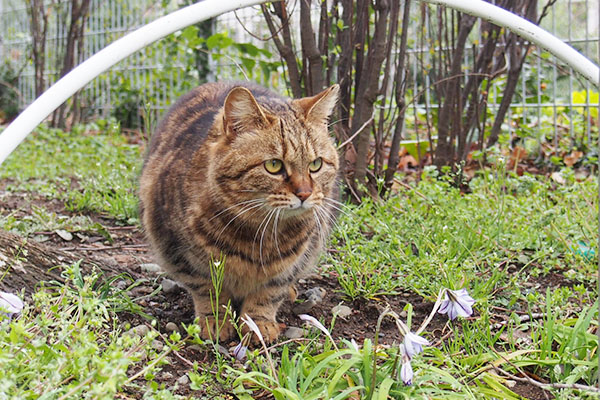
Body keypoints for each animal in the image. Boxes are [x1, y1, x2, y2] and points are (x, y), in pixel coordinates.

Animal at [138, 80, 340, 340]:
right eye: (273, 165)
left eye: (316, 164)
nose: (305, 194)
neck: (258, 235)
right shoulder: (179, 252)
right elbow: (208, 290)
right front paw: (215, 320)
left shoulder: (290, 265)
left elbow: (268, 294)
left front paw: (258, 323)